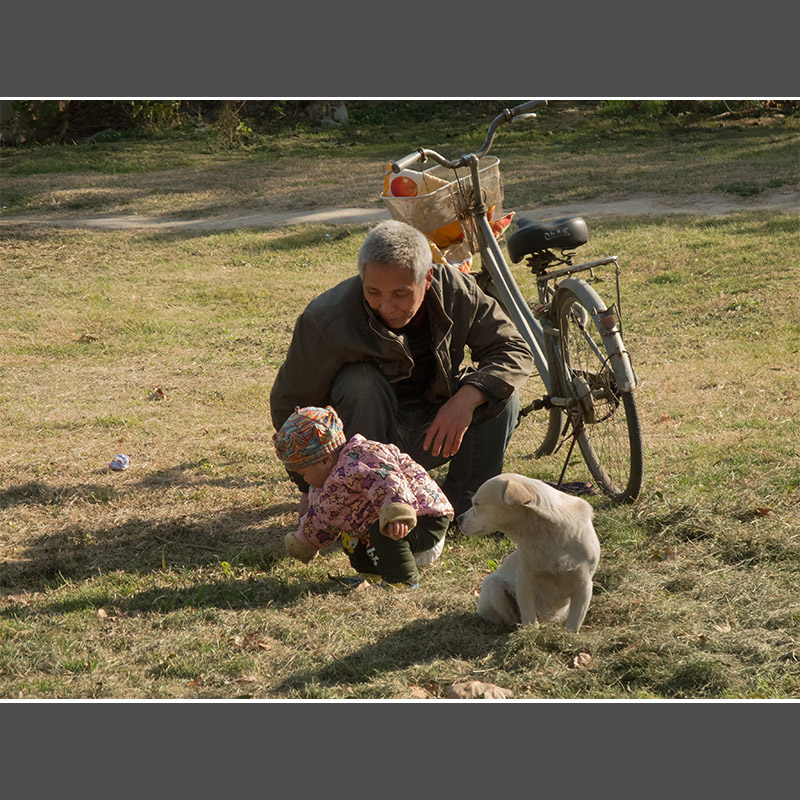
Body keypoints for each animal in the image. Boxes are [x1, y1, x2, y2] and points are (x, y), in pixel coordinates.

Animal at [456, 476, 600, 632]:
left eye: (476, 504)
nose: (458, 518)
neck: (545, 535)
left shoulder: (584, 585)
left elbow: (575, 620)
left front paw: (569, 636)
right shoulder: (525, 580)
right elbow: (528, 613)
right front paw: (530, 632)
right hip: (492, 584)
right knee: (509, 618)